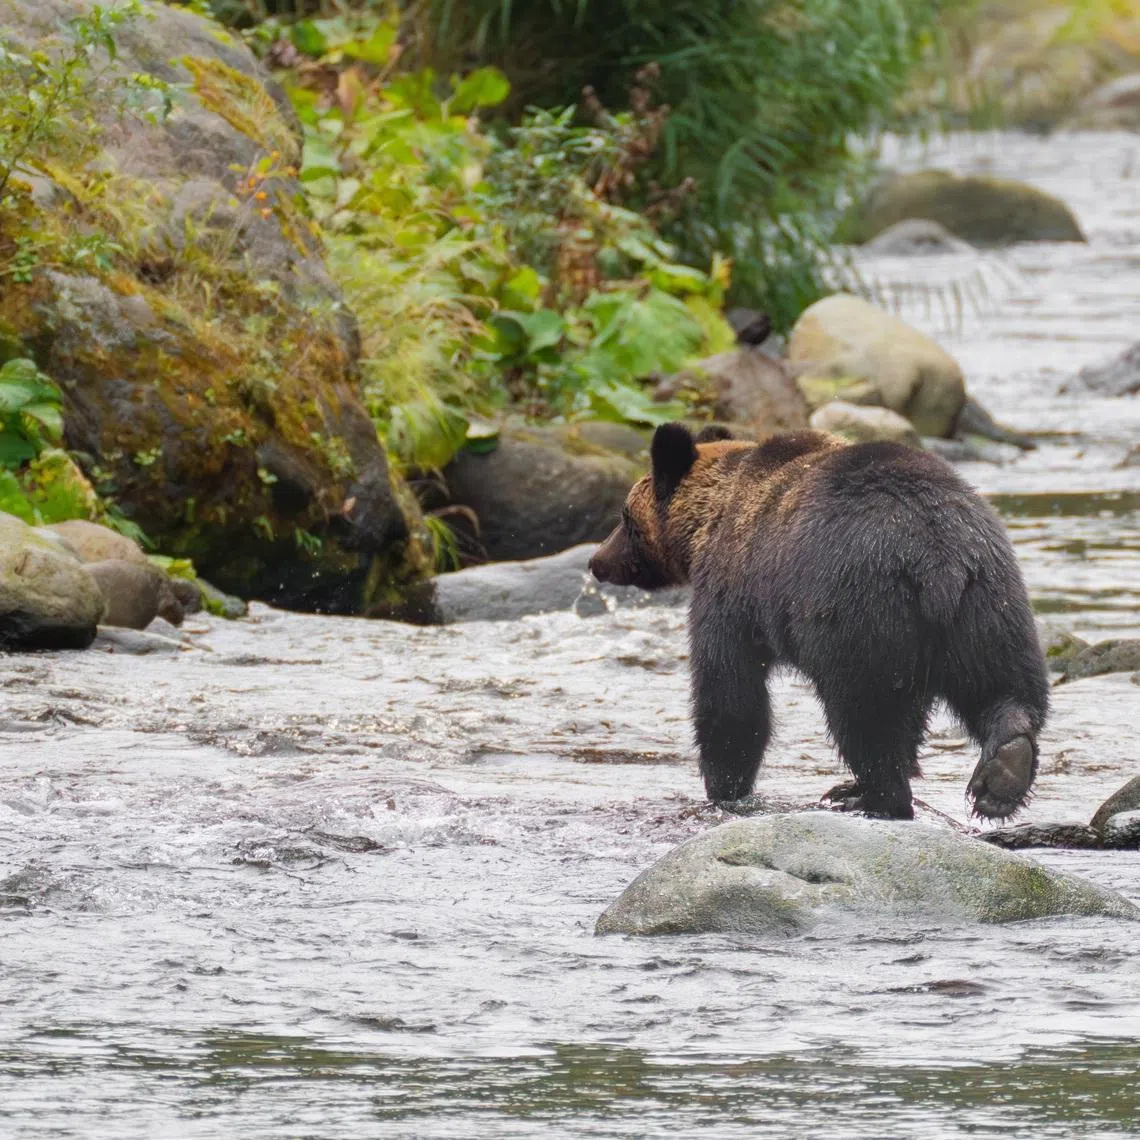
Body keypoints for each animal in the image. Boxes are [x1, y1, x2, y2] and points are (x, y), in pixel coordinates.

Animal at [588, 423, 1049, 820]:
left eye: (625, 518)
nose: (596, 561)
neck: (709, 520)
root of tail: (938, 558)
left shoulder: (732, 592)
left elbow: (730, 691)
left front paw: (724, 785)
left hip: (857, 609)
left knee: (865, 712)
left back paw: (870, 795)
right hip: (988, 601)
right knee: (1001, 685)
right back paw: (1004, 768)